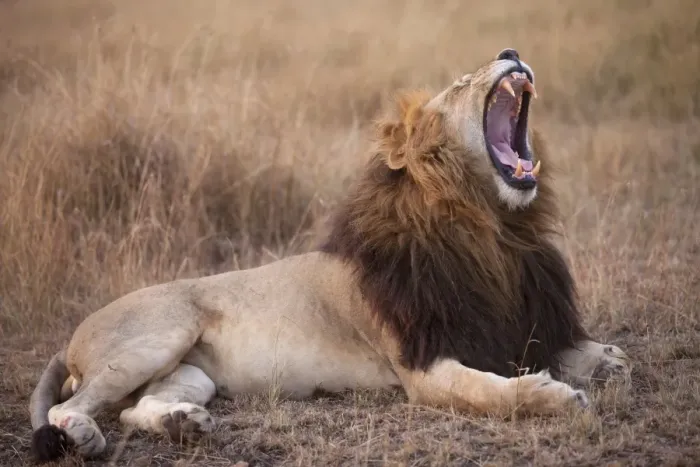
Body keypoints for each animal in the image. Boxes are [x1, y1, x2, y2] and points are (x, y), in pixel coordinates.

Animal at [29, 48, 630, 462]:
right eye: (462, 82)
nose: (510, 52)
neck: (495, 231)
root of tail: (72, 337)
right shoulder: (422, 365)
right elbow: (491, 392)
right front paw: (553, 396)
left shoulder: (517, 321)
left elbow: (589, 353)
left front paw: (606, 358)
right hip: (158, 335)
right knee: (67, 407)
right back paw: (85, 434)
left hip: (191, 373)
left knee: (137, 407)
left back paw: (185, 423)